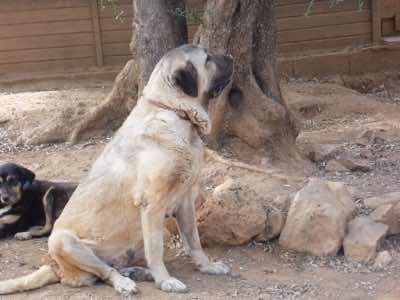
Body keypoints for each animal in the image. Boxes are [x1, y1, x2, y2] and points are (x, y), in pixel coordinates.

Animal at [0, 45, 234, 296]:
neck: (175, 111)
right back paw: (126, 281)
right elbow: (156, 251)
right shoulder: (152, 204)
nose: (231, 57)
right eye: (208, 58)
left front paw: (207, 266)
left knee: (114, 266)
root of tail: (54, 266)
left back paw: (137, 272)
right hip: (63, 240)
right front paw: (165, 280)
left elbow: (194, 240)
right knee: (105, 271)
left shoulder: (185, 201)